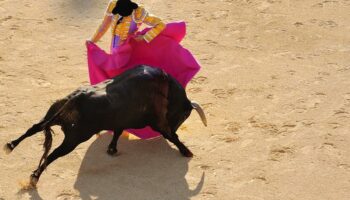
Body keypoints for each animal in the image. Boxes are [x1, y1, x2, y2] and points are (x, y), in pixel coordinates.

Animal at [4, 65, 206, 188]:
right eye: (185, 115)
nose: (177, 125)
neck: (168, 89)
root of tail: (76, 97)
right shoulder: (160, 123)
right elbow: (172, 136)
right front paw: (187, 151)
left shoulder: (121, 120)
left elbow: (117, 131)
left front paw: (112, 149)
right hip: (74, 138)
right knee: (53, 154)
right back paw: (34, 177)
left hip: (53, 114)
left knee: (34, 128)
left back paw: (10, 146)